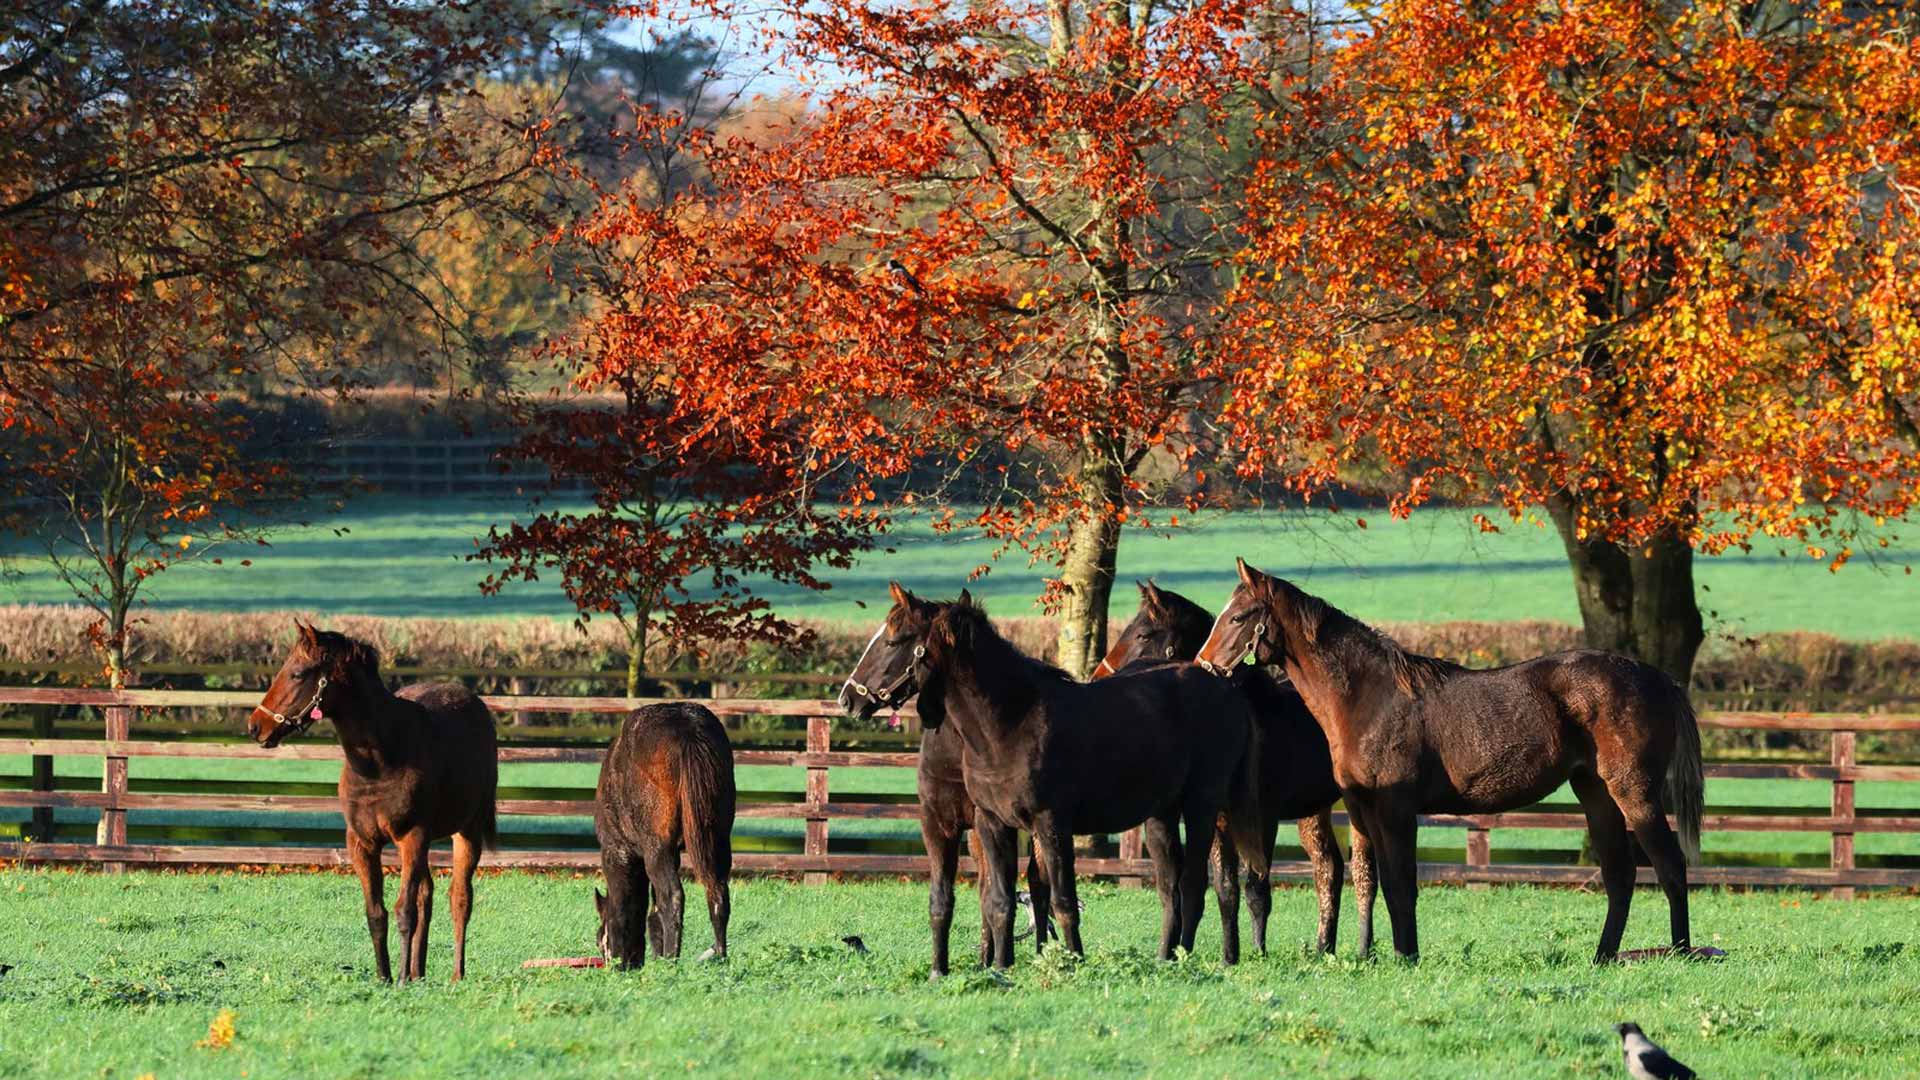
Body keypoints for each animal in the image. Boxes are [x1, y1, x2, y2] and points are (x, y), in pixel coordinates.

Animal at [248, 621, 498, 982]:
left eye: (297, 673)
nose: (256, 725)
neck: (381, 760)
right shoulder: (361, 842)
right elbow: (376, 912)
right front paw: (386, 977)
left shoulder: (412, 837)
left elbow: (405, 910)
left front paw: (401, 980)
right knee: (427, 895)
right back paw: (419, 972)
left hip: (467, 831)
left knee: (459, 898)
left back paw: (454, 975)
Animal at [594, 703, 736, 969]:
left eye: (600, 941)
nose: (623, 963)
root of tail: (688, 730)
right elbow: (653, 911)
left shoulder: (618, 850)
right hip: (718, 838)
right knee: (717, 891)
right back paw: (720, 955)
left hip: (657, 848)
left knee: (673, 897)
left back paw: (671, 959)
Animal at [842, 583, 1267, 966]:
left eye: (894, 640)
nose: (848, 698)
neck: (1011, 723)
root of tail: (1225, 688)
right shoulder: (992, 824)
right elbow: (999, 901)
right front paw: (999, 968)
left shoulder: (1051, 825)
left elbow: (1062, 901)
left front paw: (1073, 961)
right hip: (1162, 814)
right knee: (1170, 888)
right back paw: (1165, 957)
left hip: (1202, 808)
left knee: (1194, 884)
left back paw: (1184, 958)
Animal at [1093, 580, 1375, 957]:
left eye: (1142, 634)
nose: (1096, 677)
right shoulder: (1219, 821)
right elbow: (1226, 888)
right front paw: (1229, 954)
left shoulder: (1264, 816)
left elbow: (1257, 886)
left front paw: (1258, 951)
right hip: (1313, 811)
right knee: (1328, 868)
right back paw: (1323, 948)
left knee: (1364, 872)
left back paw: (1364, 949)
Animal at [1196, 559, 1704, 963]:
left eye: (1238, 616)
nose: (1204, 668)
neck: (1370, 698)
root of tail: (1660, 679)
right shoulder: (1364, 812)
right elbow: (1380, 883)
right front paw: (1393, 954)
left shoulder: (1397, 811)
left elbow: (1403, 884)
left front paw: (1407, 957)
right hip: (1595, 794)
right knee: (1620, 876)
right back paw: (1603, 956)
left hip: (1634, 793)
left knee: (1670, 866)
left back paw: (1681, 951)